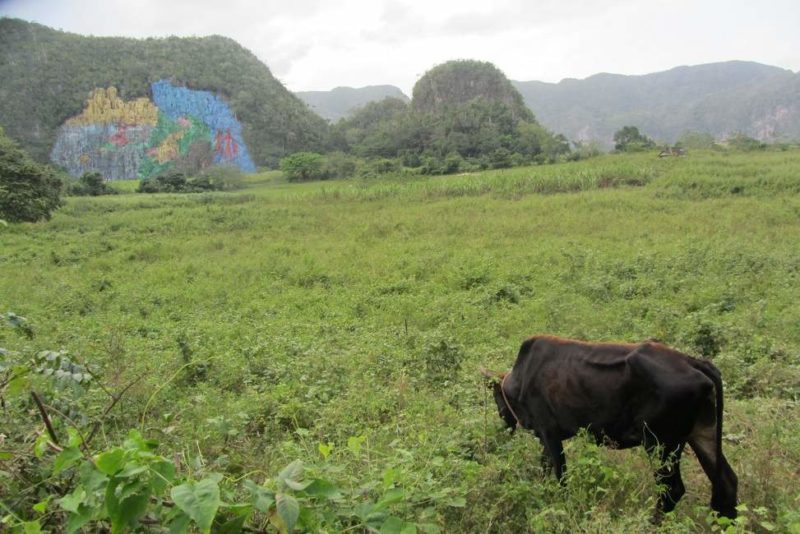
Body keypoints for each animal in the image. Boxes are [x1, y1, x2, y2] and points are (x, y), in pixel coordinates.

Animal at [482, 338, 736, 520]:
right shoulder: (545, 438)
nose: (503, 421)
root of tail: (694, 362)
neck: (521, 379)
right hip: (701, 435)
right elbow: (544, 471)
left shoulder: (549, 433)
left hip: (661, 444)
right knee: (726, 481)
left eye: (495, 397)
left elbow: (561, 476)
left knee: (672, 491)